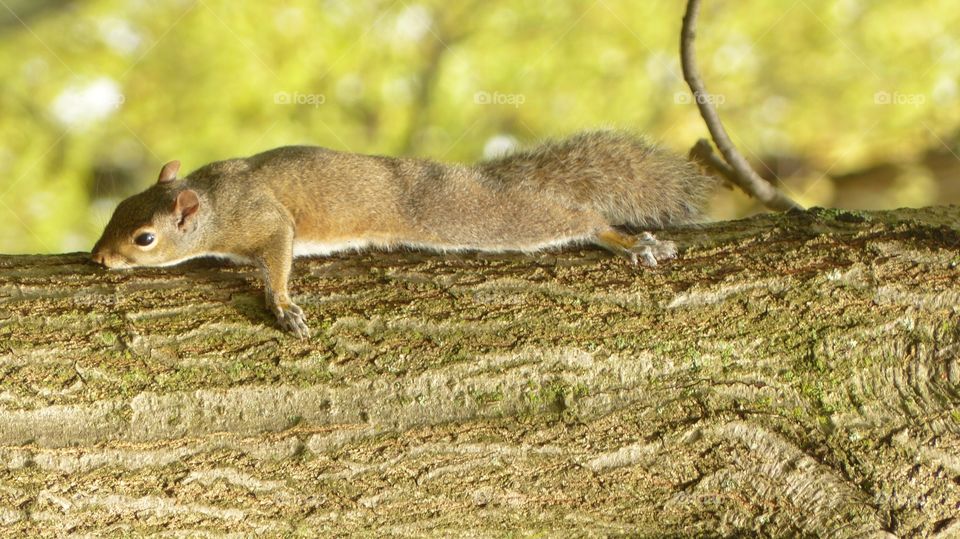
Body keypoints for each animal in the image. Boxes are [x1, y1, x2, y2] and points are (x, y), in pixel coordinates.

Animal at [94, 130, 716, 338]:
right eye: (116, 208)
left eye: (144, 238)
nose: (100, 258)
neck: (216, 203)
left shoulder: (266, 221)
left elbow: (277, 257)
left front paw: (283, 305)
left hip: (485, 216)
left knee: (576, 219)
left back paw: (627, 241)